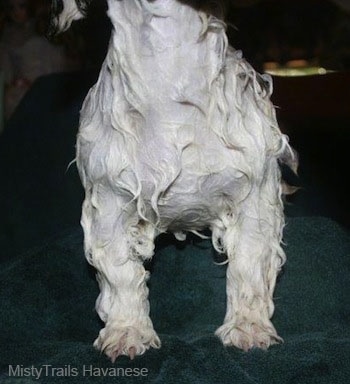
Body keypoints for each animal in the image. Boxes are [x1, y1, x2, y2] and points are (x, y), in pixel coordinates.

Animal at [51, 0, 298, 362]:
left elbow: (249, 266)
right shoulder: (109, 205)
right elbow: (121, 273)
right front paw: (127, 329)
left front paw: (248, 325)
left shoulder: (255, 201)